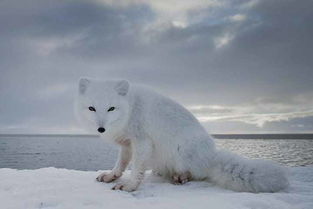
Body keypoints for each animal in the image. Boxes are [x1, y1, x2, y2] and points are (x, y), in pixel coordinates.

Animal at [75, 78, 288, 193]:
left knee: (197, 173)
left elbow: (136, 169)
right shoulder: (127, 144)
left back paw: (181, 177)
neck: (130, 109)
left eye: (111, 108)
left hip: (182, 149)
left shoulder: (142, 141)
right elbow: (121, 164)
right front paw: (111, 176)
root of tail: (211, 155)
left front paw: (129, 186)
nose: (101, 129)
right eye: (92, 108)